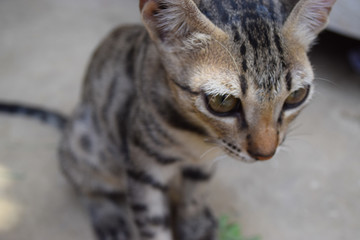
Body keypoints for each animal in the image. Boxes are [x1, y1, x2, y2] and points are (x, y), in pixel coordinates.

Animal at [0, 0, 338, 240]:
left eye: (297, 96)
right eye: (223, 102)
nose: (265, 153)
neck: (197, 137)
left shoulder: (203, 164)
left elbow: (194, 197)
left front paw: (194, 223)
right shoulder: (142, 170)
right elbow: (153, 225)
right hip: (89, 142)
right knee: (81, 178)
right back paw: (107, 214)